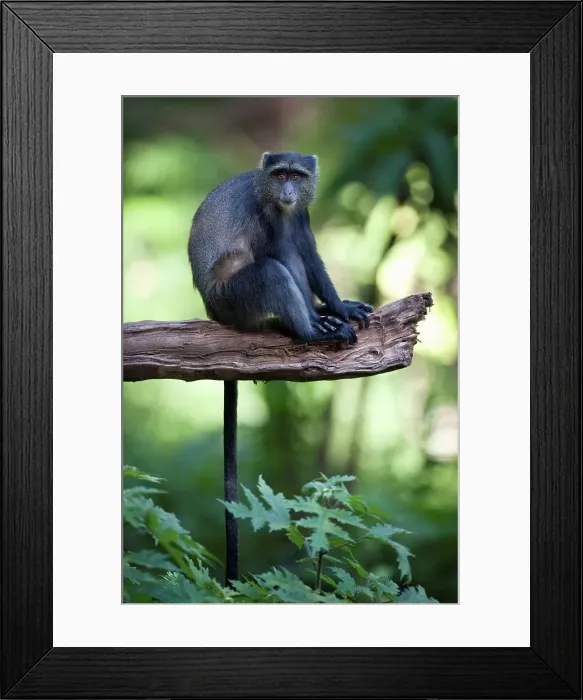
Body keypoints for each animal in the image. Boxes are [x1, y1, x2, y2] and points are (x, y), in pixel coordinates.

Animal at [187, 151, 373, 345]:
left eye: (296, 177)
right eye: (280, 175)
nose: (288, 191)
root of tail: (210, 308)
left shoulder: (302, 212)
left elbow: (310, 256)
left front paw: (341, 307)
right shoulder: (265, 213)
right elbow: (283, 257)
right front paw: (316, 321)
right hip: (228, 300)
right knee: (271, 271)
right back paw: (310, 332)